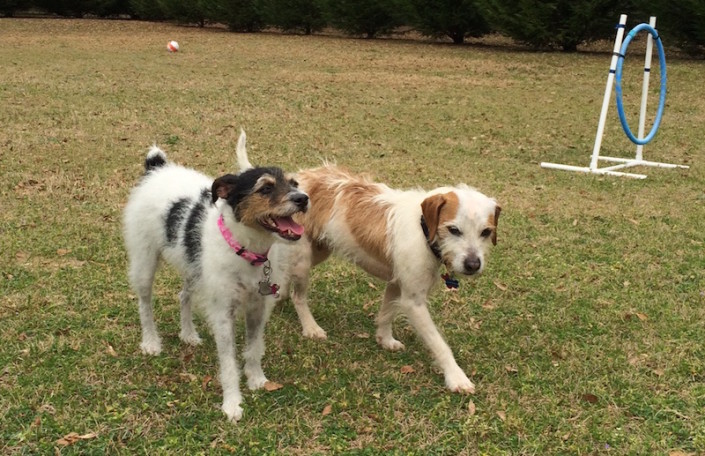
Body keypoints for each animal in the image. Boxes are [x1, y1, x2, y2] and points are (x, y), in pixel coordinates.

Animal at [123, 144, 308, 422]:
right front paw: (232, 403)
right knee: (145, 303)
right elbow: (229, 362)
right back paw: (151, 342)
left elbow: (254, 348)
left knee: (183, 296)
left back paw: (188, 334)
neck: (246, 249)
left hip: (194, 267)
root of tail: (157, 169)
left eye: (294, 183)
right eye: (265, 188)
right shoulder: (223, 314)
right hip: (145, 261)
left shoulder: (258, 308)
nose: (303, 199)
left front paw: (256, 379)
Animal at [234, 131, 498, 392]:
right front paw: (456, 377)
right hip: (303, 259)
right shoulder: (414, 302)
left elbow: (386, 313)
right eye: (453, 230)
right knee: (299, 297)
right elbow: (439, 344)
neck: (423, 226)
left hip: (318, 251)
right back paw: (310, 327)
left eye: (486, 232)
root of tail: (295, 181)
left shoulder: (396, 283)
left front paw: (384, 339)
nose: (473, 265)